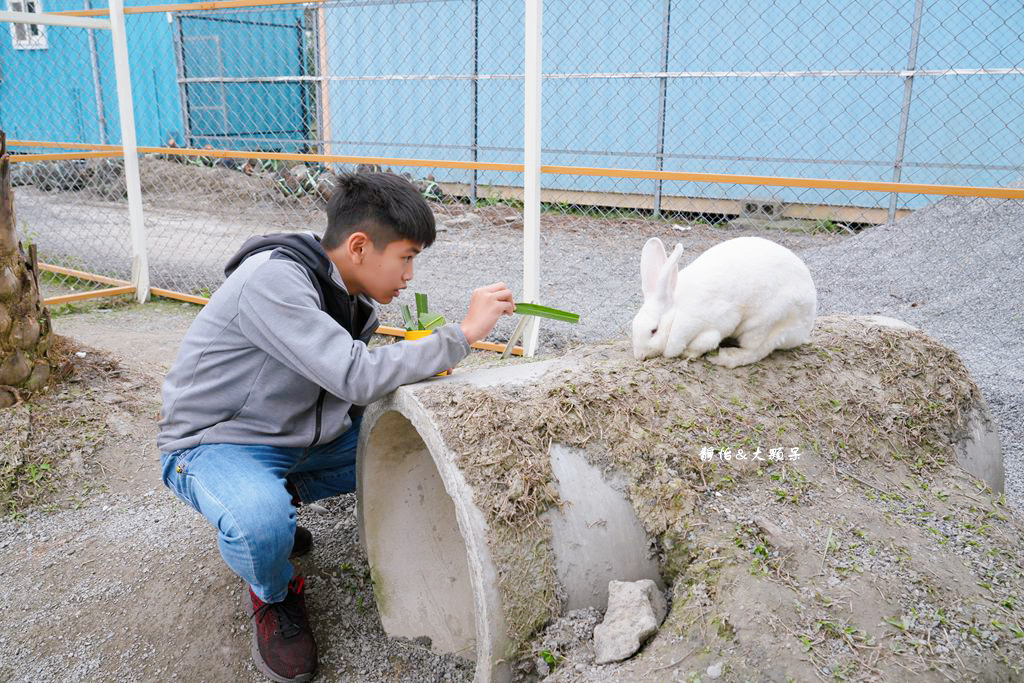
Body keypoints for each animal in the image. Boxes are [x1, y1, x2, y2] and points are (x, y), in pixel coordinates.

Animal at [630, 237, 815, 370]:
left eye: (654, 331)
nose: (639, 356)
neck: (676, 313)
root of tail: (804, 331)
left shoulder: (716, 325)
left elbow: (704, 342)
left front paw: (688, 353)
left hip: (764, 324)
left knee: (756, 351)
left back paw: (724, 357)